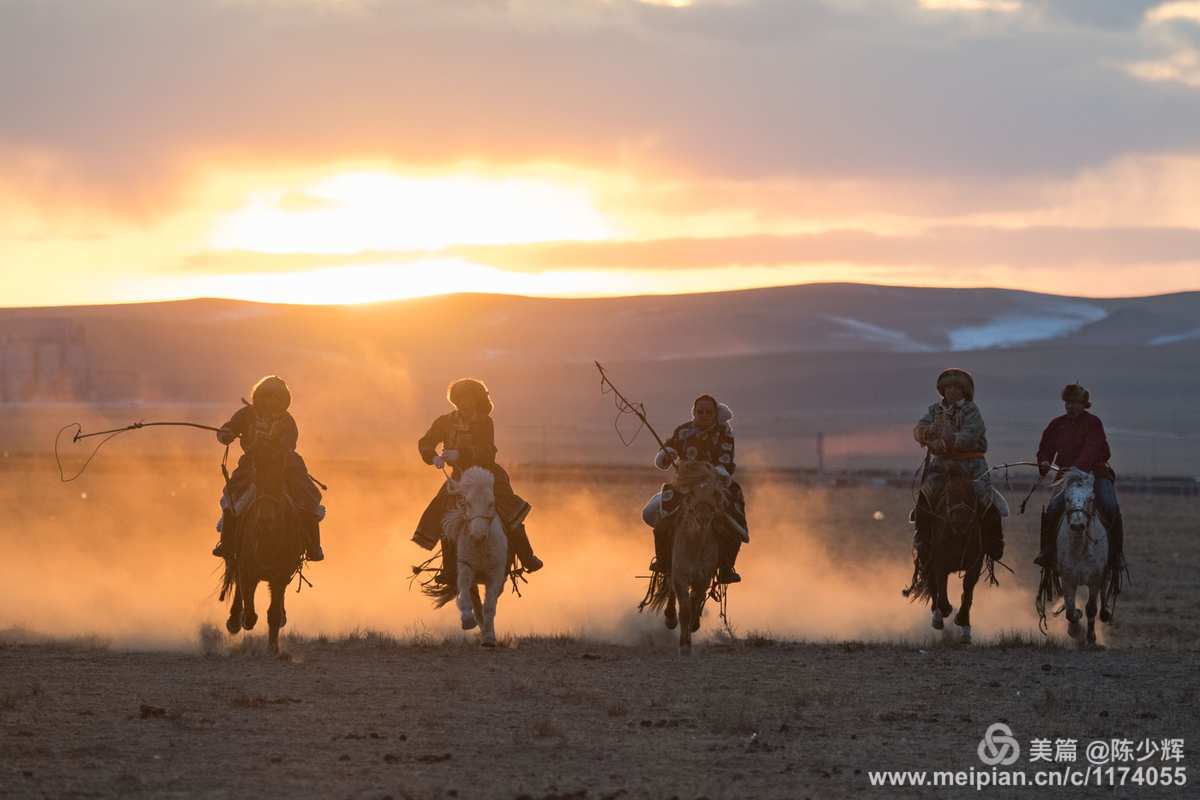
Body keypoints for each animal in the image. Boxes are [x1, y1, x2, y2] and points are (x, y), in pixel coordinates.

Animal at [220, 441, 307, 652]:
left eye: (279, 479)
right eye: (257, 477)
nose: (265, 519)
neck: (267, 538)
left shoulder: (281, 575)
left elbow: (273, 613)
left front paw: (273, 647)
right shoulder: (247, 570)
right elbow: (250, 611)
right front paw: (242, 620)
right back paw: (234, 621)